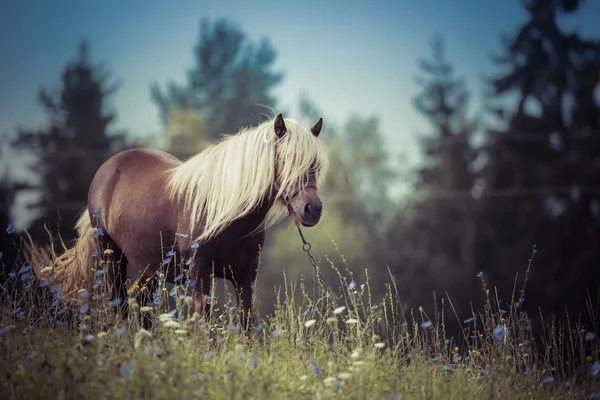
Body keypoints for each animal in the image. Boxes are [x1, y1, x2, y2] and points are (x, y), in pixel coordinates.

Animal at [27, 114, 328, 330]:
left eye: (315, 165)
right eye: (287, 160)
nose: (312, 209)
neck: (225, 212)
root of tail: (108, 168)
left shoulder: (246, 275)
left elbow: (246, 324)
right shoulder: (200, 271)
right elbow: (204, 322)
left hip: (151, 267)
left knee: (141, 303)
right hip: (110, 257)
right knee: (119, 308)